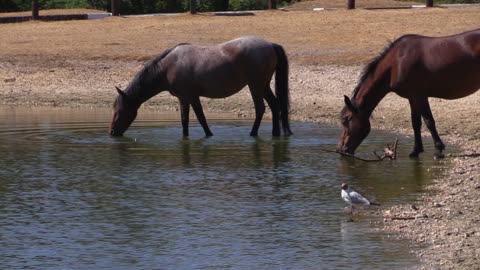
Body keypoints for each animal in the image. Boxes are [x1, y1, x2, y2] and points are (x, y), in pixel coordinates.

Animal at [109, 35, 292, 137]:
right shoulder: (183, 98)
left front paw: (209, 135)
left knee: (260, 109)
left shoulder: (192, 96)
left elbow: (201, 118)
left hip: (255, 86)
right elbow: (184, 121)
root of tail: (270, 44)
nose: (111, 133)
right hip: (263, 85)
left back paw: (253, 134)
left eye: (119, 111)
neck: (168, 67)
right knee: (275, 105)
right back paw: (276, 134)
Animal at [338, 28, 480, 158]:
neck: (396, 63)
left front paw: (438, 149)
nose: (341, 149)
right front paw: (416, 150)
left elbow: (429, 121)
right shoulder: (412, 97)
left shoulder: (419, 96)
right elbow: (415, 123)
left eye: (346, 119)